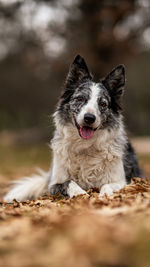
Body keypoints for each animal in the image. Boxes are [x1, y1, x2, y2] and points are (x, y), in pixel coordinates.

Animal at [3, 54, 142, 203]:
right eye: (80, 99)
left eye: (103, 104)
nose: (89, 118)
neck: (85, 146)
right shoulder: (54, 184)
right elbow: (69, 182)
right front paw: (80, 194)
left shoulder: (121, 181)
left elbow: (107, 185)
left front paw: (104, 196)